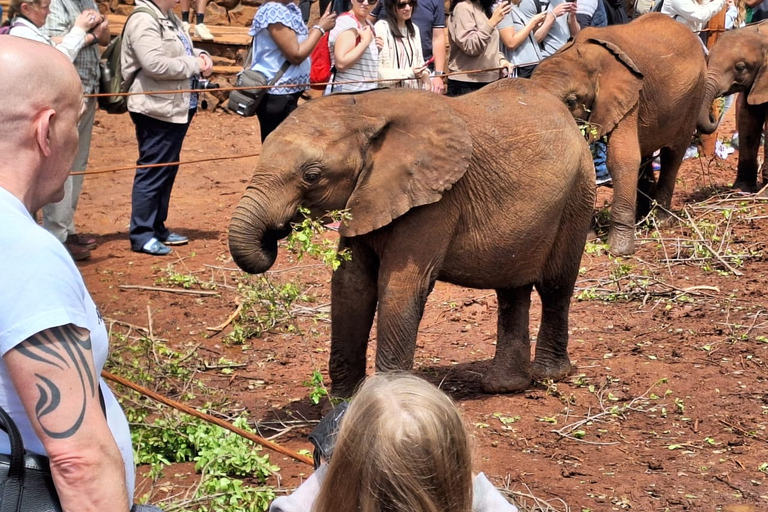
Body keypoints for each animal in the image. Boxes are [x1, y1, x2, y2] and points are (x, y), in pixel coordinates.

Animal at [228, 81, 592, 400]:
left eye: (312, 176)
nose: (275, 234)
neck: (367, 110)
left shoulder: (437, 200)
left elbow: (400, 286)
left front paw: (387, 400)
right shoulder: (367, 196)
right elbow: (350, 286)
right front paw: (342, 403)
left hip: (578, 192)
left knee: (555, 285)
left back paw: (549, 375)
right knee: (511, 288)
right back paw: (504, 387)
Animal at [532, 14, 704, 256]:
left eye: (571, 101)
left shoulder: (630, 95)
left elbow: (622, 158)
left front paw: (619, 251)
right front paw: (587, 238)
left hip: (695, 94)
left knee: (673, 153)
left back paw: (661, 222)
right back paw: (642, 218)